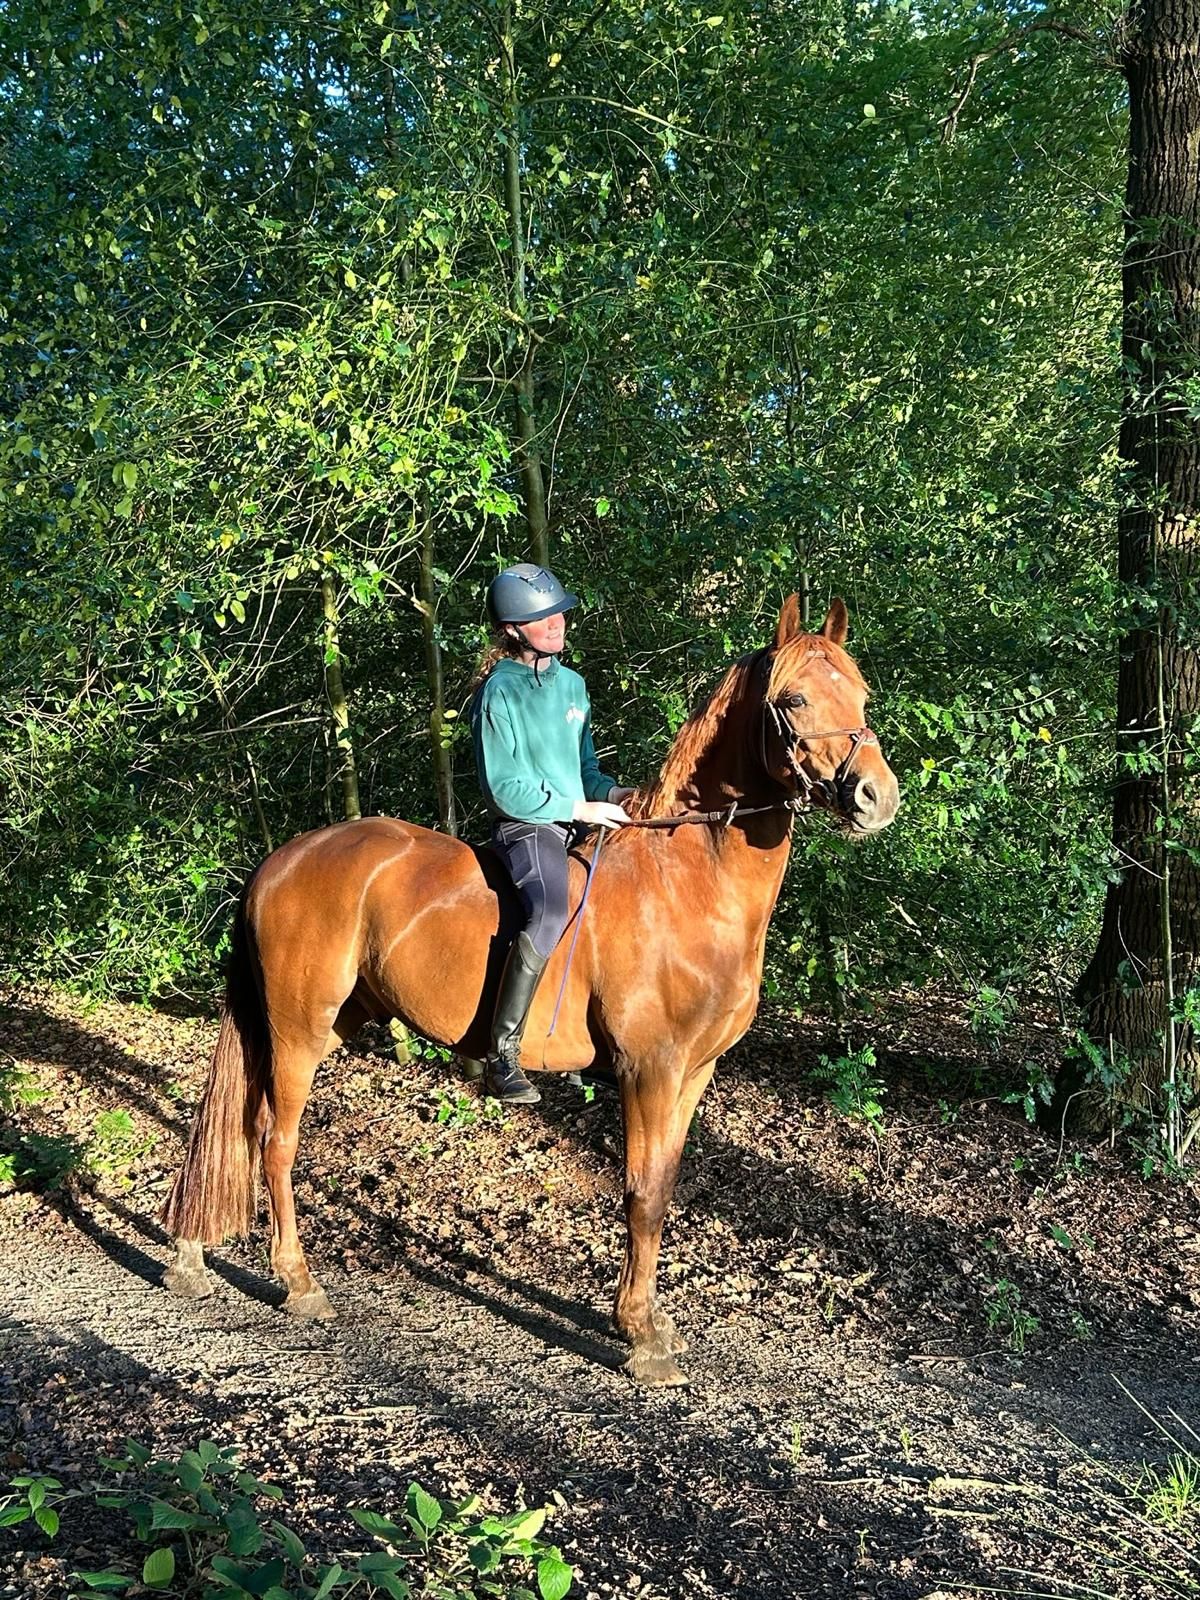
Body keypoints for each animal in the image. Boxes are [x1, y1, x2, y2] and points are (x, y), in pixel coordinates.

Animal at [161, 594, 900, 1386]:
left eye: (862, 694)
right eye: (792, 700)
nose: (876, 797)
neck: (686, 882)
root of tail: (283, 859)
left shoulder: (694, 1072)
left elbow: (664, 1185)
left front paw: (650, 1322)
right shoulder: (649, 1070)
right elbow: (642, 1194)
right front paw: (640, 1338)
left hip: (324, 1021)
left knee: (238, 1126)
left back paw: (191, 1258)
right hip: (298, 1028)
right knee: (275, 1141)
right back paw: (298, 1283)